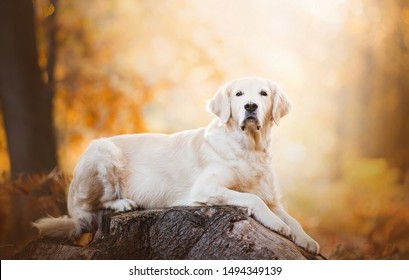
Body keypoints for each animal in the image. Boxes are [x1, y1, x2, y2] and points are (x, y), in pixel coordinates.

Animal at [33, 76, 318, 254]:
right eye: (239, 94)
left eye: (263, 93)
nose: (250, 106)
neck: (248, 147)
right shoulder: (206, 188)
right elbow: (253, 200)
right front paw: (276, 225)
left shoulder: (271, 198)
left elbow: (292, 218)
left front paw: (306, 239)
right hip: (102, 151)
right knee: (91, 207)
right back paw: (123, 203)